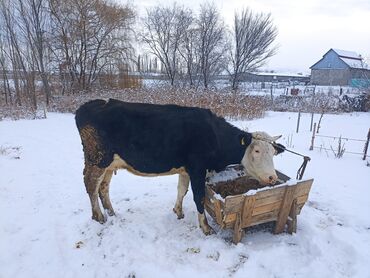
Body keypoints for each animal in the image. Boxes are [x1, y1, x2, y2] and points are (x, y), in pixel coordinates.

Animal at [74, 99, 284, 235]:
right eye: (256, 150)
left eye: (273, 152)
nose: (272, 177)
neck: (214, 136)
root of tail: (89, 105)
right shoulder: (197, 168)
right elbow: (198, 197)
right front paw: (205, 227)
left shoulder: (186, 169)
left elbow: (182, 190)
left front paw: (178, 211)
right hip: (97, 159)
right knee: (91, 185)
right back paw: (99, 216)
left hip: (109, 164)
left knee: (103, 187)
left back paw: (110, 211)